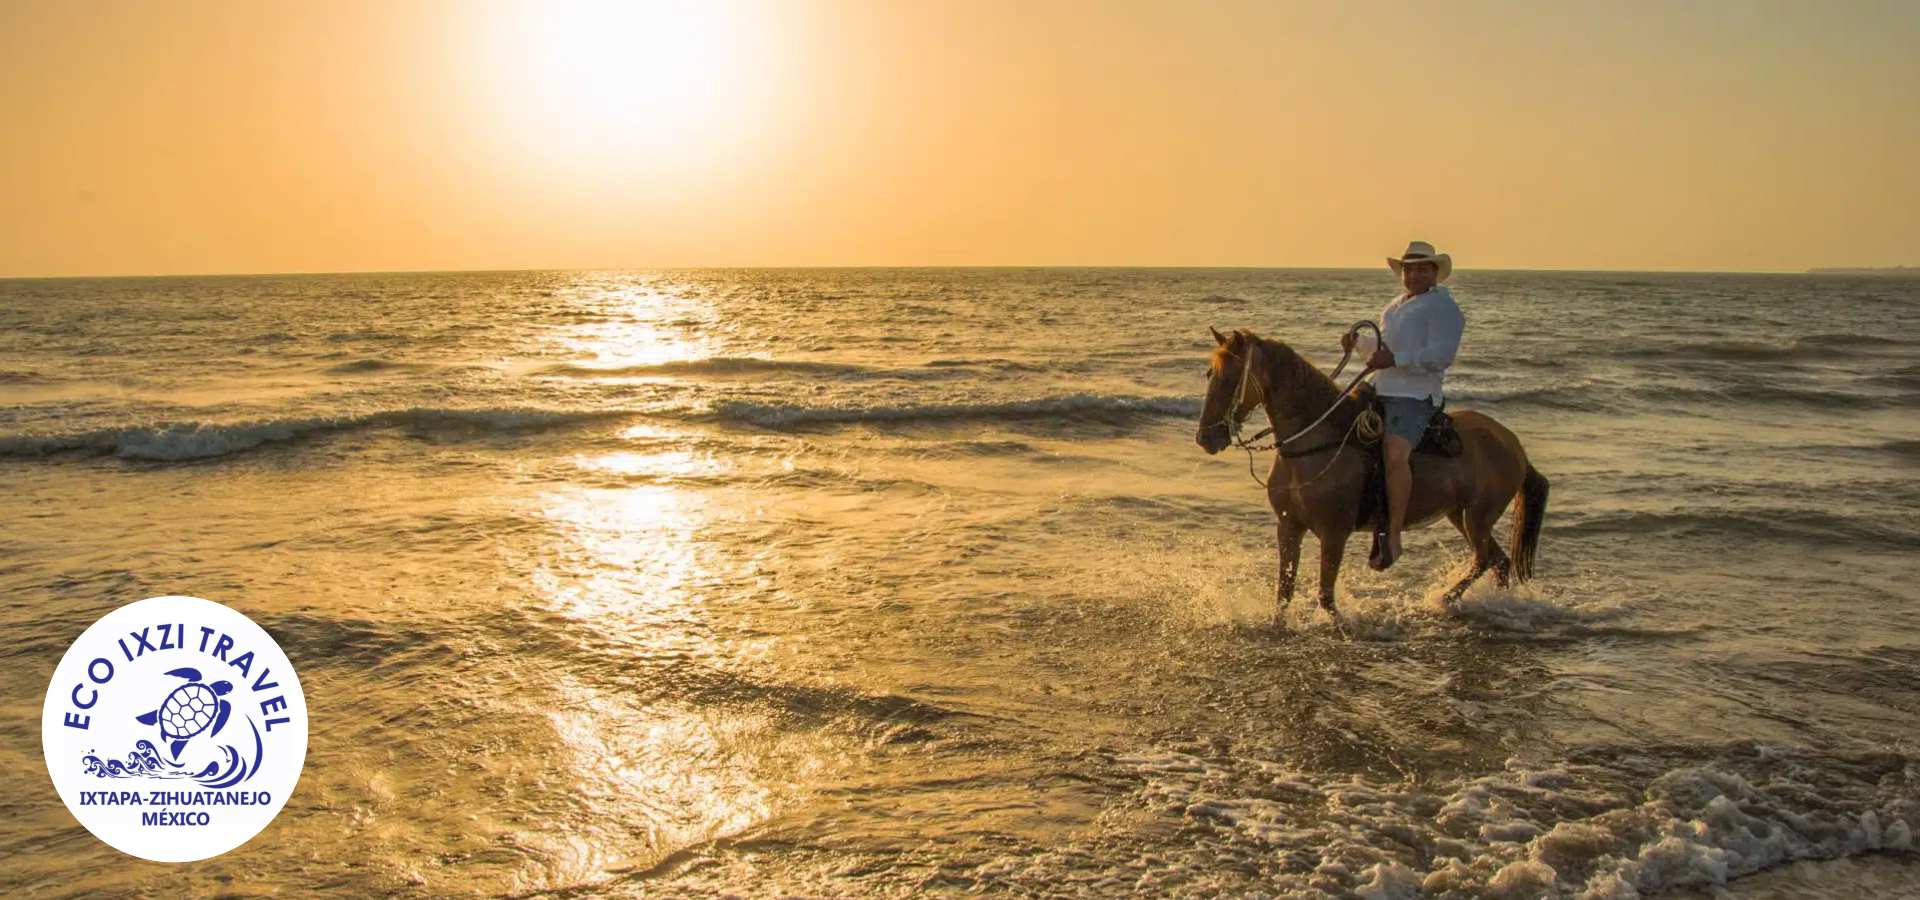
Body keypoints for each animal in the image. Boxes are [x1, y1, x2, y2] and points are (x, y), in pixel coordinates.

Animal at [1190, 328, 1551, 617]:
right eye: (1209, 374)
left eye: (1229, 378)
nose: (1206, 438)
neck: (1315, 442)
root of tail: (1514, 444)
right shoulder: (1288, 526)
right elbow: (1284, 593)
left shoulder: (1334, 533)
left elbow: (1326, 597)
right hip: (1459, 514)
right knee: (1498, 561)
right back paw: (1494, 605)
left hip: (1478, 517)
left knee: (1485, 559)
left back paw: (1446, 599)